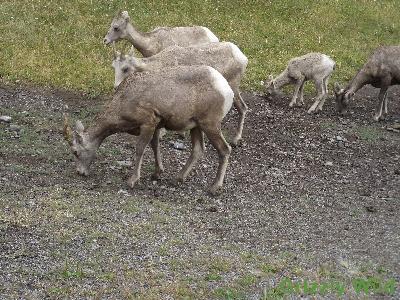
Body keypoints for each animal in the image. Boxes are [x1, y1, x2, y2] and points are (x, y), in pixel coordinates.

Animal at [62, 65, 234, 195]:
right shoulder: (156, 126)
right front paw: (157, 174)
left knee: (224, 149)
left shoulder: (148, 123)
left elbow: (140, 149)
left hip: (209, 124)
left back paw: (214, 188)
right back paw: (177, 179)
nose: (80, 172)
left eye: (75, 151)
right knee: (198, 150)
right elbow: (154, 146)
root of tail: (226, 89)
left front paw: (132, 181)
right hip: (196, 126)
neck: (122, 101)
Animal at [109, 42, 247, 145]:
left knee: (242, 107)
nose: (116, 87)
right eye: (113, 67)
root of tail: (242, 57)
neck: (161, 62)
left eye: (125, 68)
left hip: (233, 86)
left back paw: (236, 139)